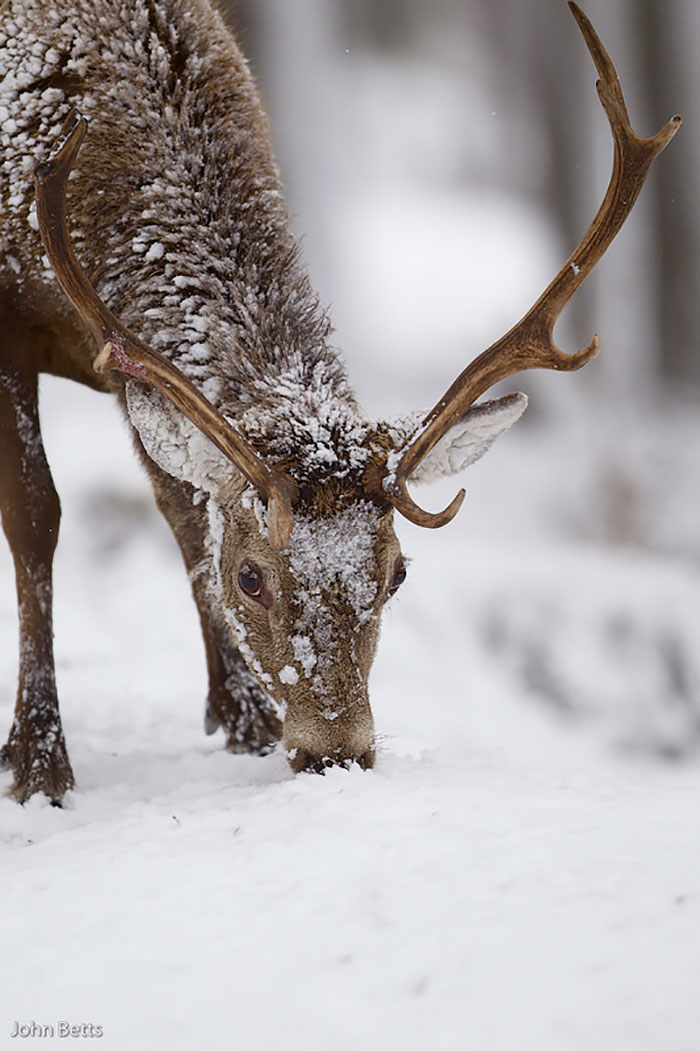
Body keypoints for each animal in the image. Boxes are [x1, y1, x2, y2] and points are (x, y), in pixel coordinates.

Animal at [0, 0, 679, 803]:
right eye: (251, 577)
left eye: (398, 573)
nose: (337, 753)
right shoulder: (9, 323)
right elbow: (35, 514)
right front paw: (38, 760)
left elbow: (183, 510)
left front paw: (245, 719)